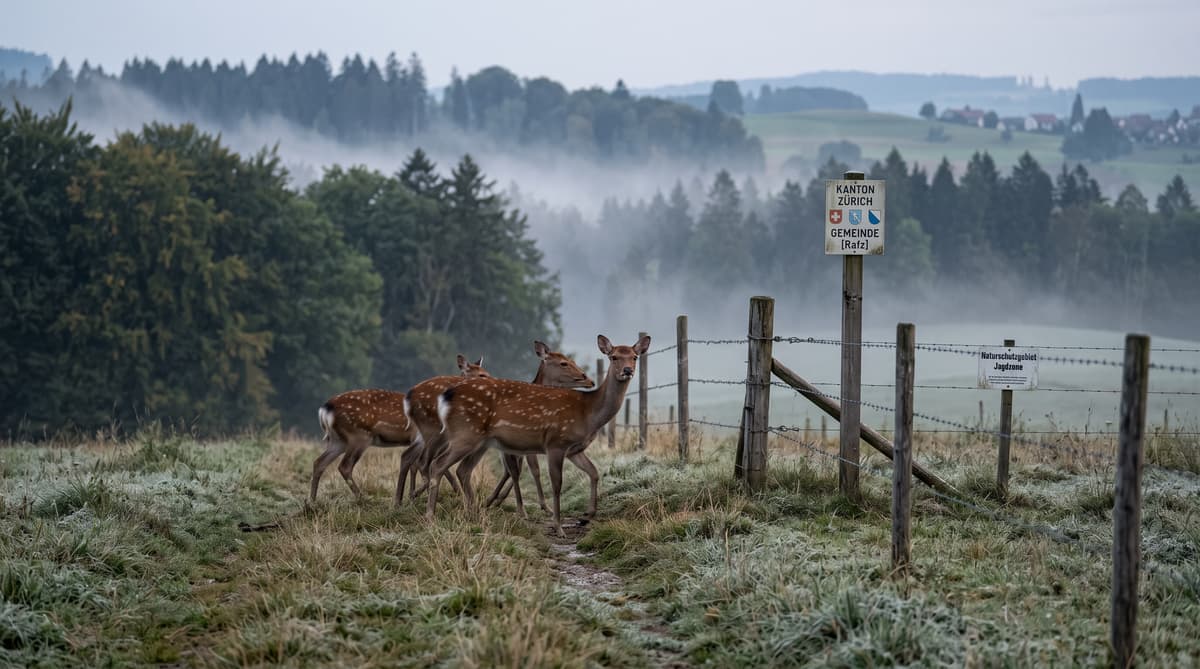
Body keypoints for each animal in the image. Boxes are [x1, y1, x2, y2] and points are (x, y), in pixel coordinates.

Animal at [312, 354, 488, 503]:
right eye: (481, 374)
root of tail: (325, 409)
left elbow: (423, 465)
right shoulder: (421, 439)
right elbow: (423, 464)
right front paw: (414, 495)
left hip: (338, 440)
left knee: (319, 462)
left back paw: (312, 502)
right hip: (358, 436)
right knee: (345, 466)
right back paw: (363, 499)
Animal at [399, 341, 595, 511]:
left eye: (571, 360)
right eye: (564, 363)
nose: (588, 379)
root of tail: (408, 398)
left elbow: (518, 470)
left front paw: (494, 500)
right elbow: (521, 470)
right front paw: (531, 507)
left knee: (412, 457)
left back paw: (406, 499)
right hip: (436, 432)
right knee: (425, 461)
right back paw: (420, 496)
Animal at [426, 334, 649, 536]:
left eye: (634, 357)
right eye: (613, 357)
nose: (627, 371)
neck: (588, 413)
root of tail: (446, 396)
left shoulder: (574, 449)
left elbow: (594, 472)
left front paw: (586, 516)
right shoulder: (556, 443)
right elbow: (557, 484)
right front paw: (558, 527)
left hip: (480, 442)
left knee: (462, 470)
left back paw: (474, 513)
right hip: (464, 434)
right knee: (438, 464)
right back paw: (431, 517)